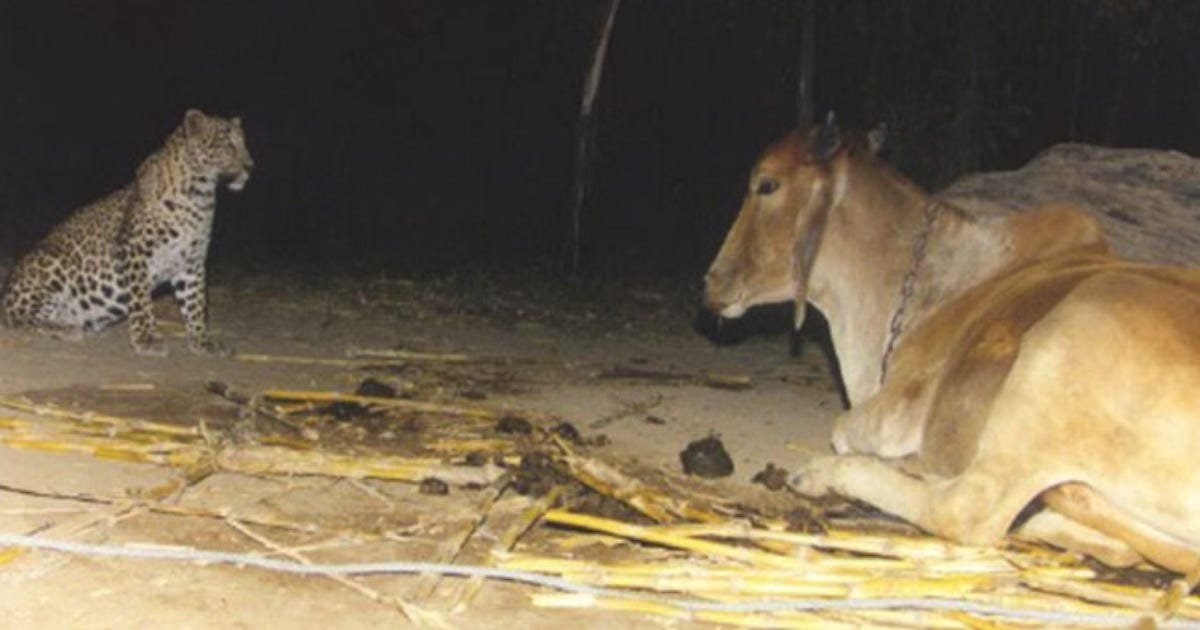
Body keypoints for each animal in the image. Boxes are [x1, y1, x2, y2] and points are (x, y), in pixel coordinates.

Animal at [1, 109, 254, 356]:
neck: (201, 195)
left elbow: (196, 304)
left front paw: (202, 341)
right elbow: (142, 301)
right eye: (226, 143)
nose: (251, 166)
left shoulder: (192, 262)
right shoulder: (136, 253)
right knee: (20, 319)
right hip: (48, 264)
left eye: (243, 143)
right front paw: (146, 340)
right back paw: (64, 329)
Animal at [704, 116, 1200, 578]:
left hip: (1068, 335)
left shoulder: (897, 412)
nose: (712, 282)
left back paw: (827, 474)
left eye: (767, 184)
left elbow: (843, 428)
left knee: (968, 510)